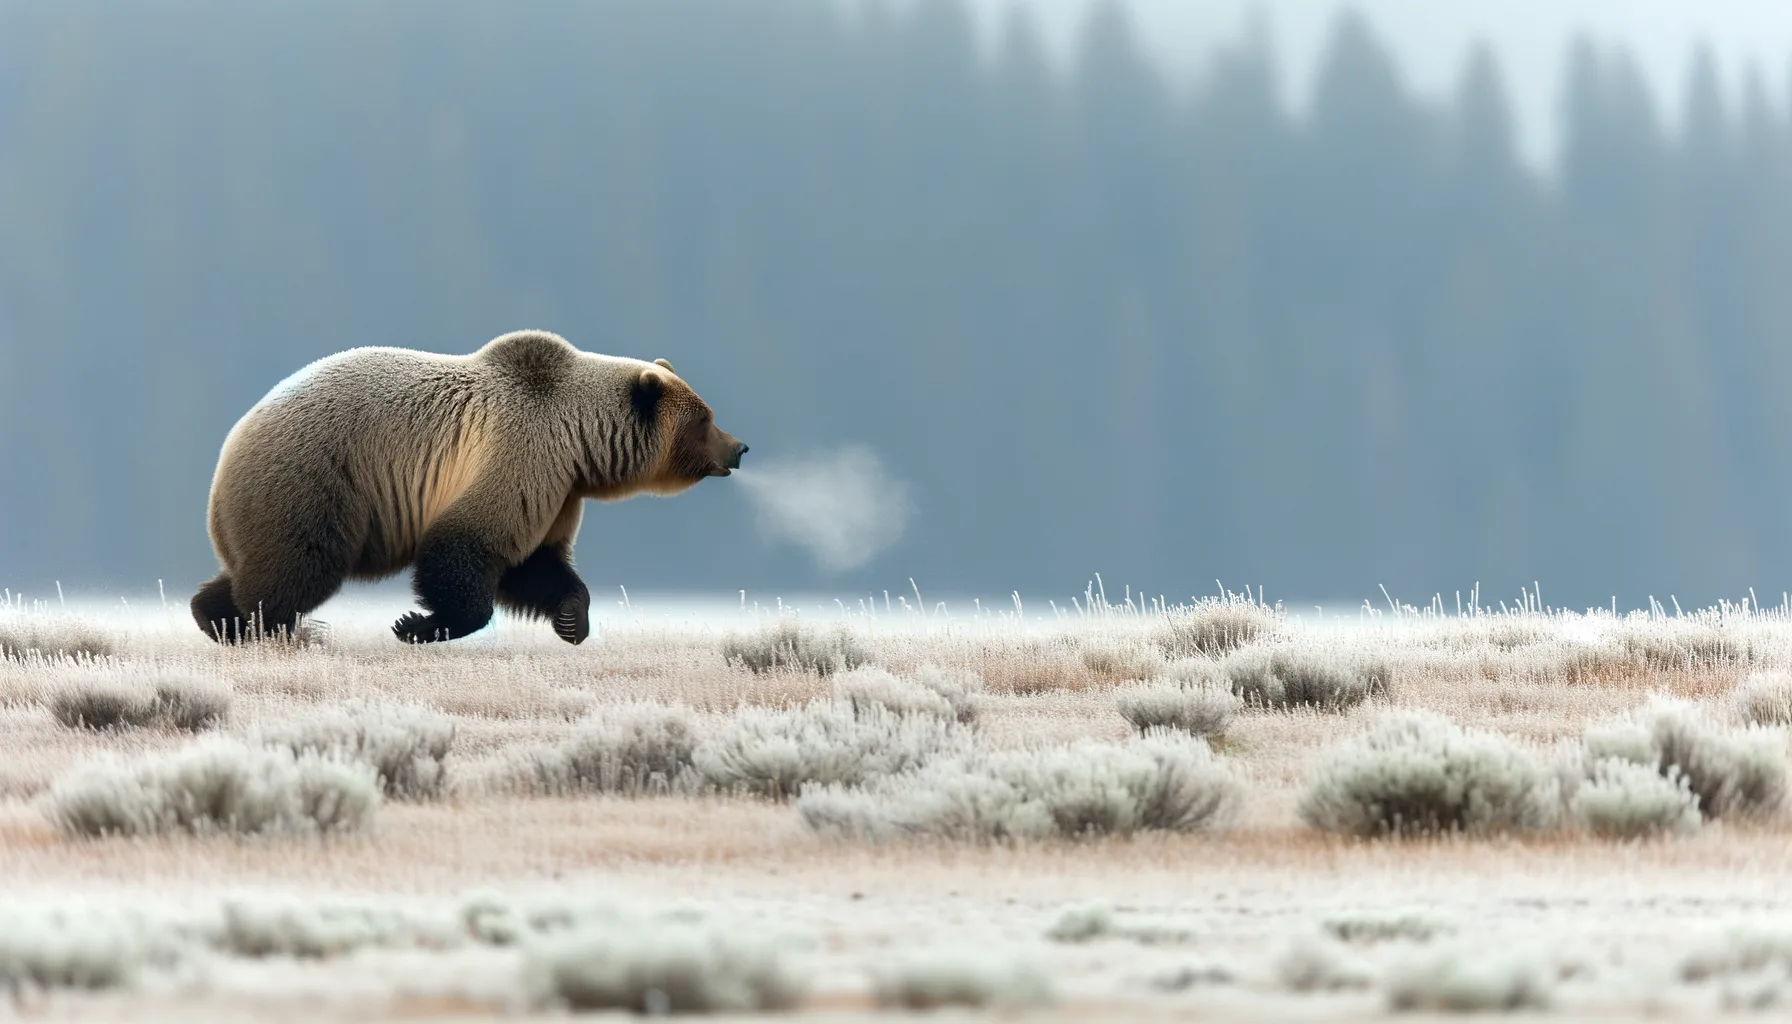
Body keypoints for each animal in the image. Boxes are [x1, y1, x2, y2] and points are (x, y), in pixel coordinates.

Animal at [190, 329, 746, 644]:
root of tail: (228, 449)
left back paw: (216, 617)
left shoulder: (559, 493)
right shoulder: (523, 455)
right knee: (299, 566)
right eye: (705, 419)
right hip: (315, 480)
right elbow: (465, 547)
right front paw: (417, 624)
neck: (579, 442)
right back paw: (268, 627)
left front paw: (573, 619)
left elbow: (536, 566)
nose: (739, 447)